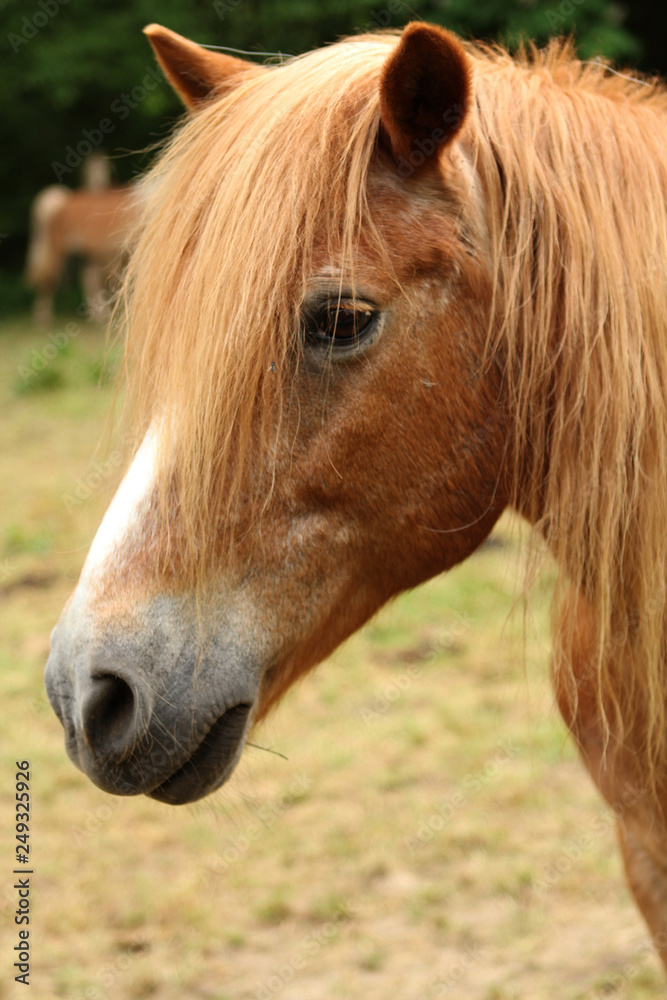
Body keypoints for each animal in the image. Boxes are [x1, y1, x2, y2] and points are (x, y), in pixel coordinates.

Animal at [25, 178, 137, 322]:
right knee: (49, 277)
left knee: (88, 281)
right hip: (59, 250)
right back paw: (43, 318)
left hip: (84, 255)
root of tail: (61, 201)